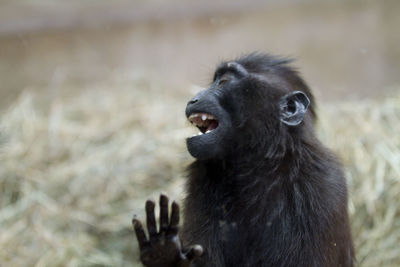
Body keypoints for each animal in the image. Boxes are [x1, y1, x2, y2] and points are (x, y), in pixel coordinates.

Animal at [133, 52, 354, 267]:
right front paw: (165, 255)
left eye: (223, 82)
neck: (260, 163)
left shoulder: (320, 184)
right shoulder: (201, 178)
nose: (194, 99)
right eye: (214, 81)